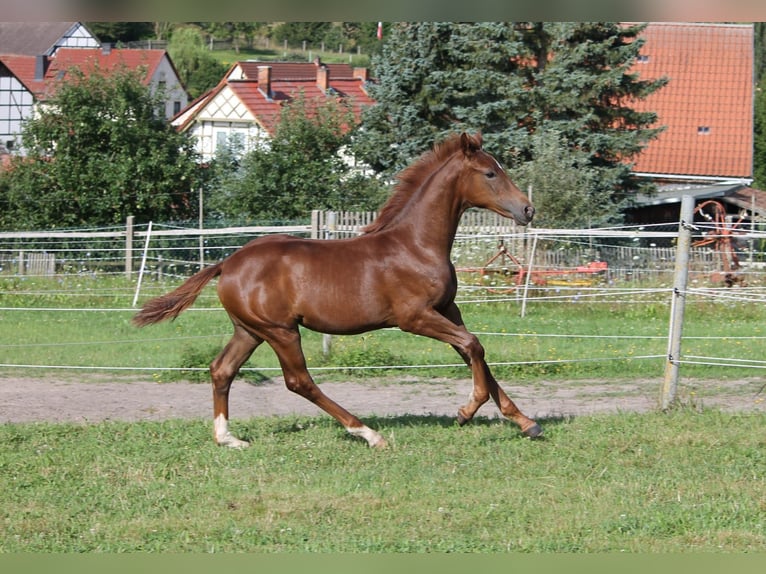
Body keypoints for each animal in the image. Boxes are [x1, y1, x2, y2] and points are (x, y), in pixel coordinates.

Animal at [134, 134, 540, 450]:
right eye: (490, 173)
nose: (528, 209)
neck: (416, 245)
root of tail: (227, 263)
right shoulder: (414, 317)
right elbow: (473, 346)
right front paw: (466, 412)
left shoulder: (448, 309)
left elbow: (474, 353)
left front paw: (525, 422)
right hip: (281, 331)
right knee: (298, 381)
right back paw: (368, 434)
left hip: (249, 330)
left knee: (222, 369)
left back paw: (228, 438)